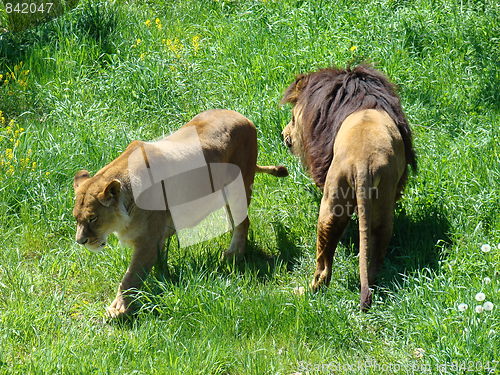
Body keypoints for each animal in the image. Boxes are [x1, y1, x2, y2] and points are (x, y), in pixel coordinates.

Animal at [72, 110, 288, 318]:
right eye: (76, 218)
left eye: (93, 218)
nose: (80, 241)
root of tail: (244, 118)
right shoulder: (156, 239)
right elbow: (156, 264)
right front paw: (162, 278)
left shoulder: (147, 240)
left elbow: (130, 277)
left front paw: (118, 309)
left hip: (238, 188)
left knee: (243, 222)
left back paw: (234, 255)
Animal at [282, 65, 418, 312]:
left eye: (292, 118)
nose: (283, 135)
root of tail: (363, 161)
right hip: (382, 201)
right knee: (375, 249)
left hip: (332, 196)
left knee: (323, 264)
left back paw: (305, 291)